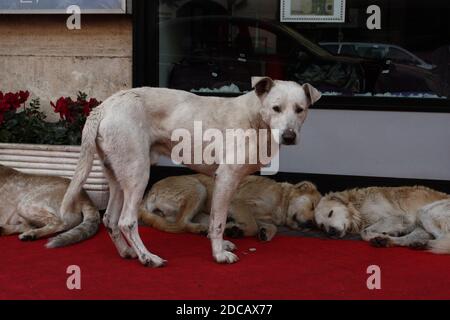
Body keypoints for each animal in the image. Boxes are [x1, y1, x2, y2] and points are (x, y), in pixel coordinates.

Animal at [139, 175, 322, 240]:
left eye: (317, 222)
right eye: (313, 206)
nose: (311, 225)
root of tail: (148, 194)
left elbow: (270, 227)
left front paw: (265, 233)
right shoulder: (237, 202)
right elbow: (252, 225)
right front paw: (239, 231)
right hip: (198, 188)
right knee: (179, 224)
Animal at [314, 186, 450, 254]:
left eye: (330, 213)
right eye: (322, 226)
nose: (331, 232)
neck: (358, 207)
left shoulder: (399, 217)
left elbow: (364, 232)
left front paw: (376, 234)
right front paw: (388, 234)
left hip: (425, 212)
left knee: (444, 240)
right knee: (413, 238)